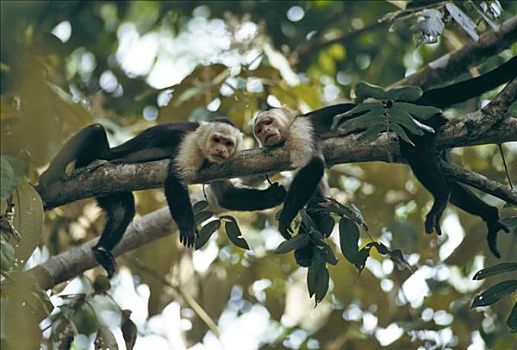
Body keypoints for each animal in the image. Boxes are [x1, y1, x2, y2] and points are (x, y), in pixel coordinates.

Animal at [39, 119, 286, 278]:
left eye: (228, 143)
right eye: (217, 139)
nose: (220, 150)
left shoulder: (224, 163)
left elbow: (226, 196)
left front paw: (275, 195)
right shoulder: (190, 144)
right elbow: (174, 180)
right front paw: (187, 225)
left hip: (105, 185)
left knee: (123, 208)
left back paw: (101, 251)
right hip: (95, 160)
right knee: (96, 131)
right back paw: (49, 175)